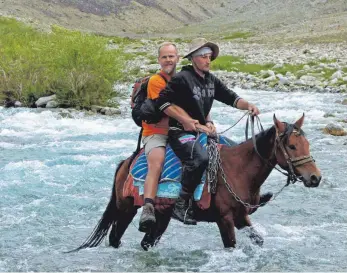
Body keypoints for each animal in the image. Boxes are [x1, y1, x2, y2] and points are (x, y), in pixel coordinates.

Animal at [69, 112, 322, 251]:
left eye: (307, 144)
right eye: (292, 146)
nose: (315, 177)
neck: (239, 170)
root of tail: (126, 162)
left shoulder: (241, 217)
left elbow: (257, 239)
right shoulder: (224, 219)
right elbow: (231, 246)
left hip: (162, 217)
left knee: (146, 243)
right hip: (126, 209)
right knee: (115, 238)